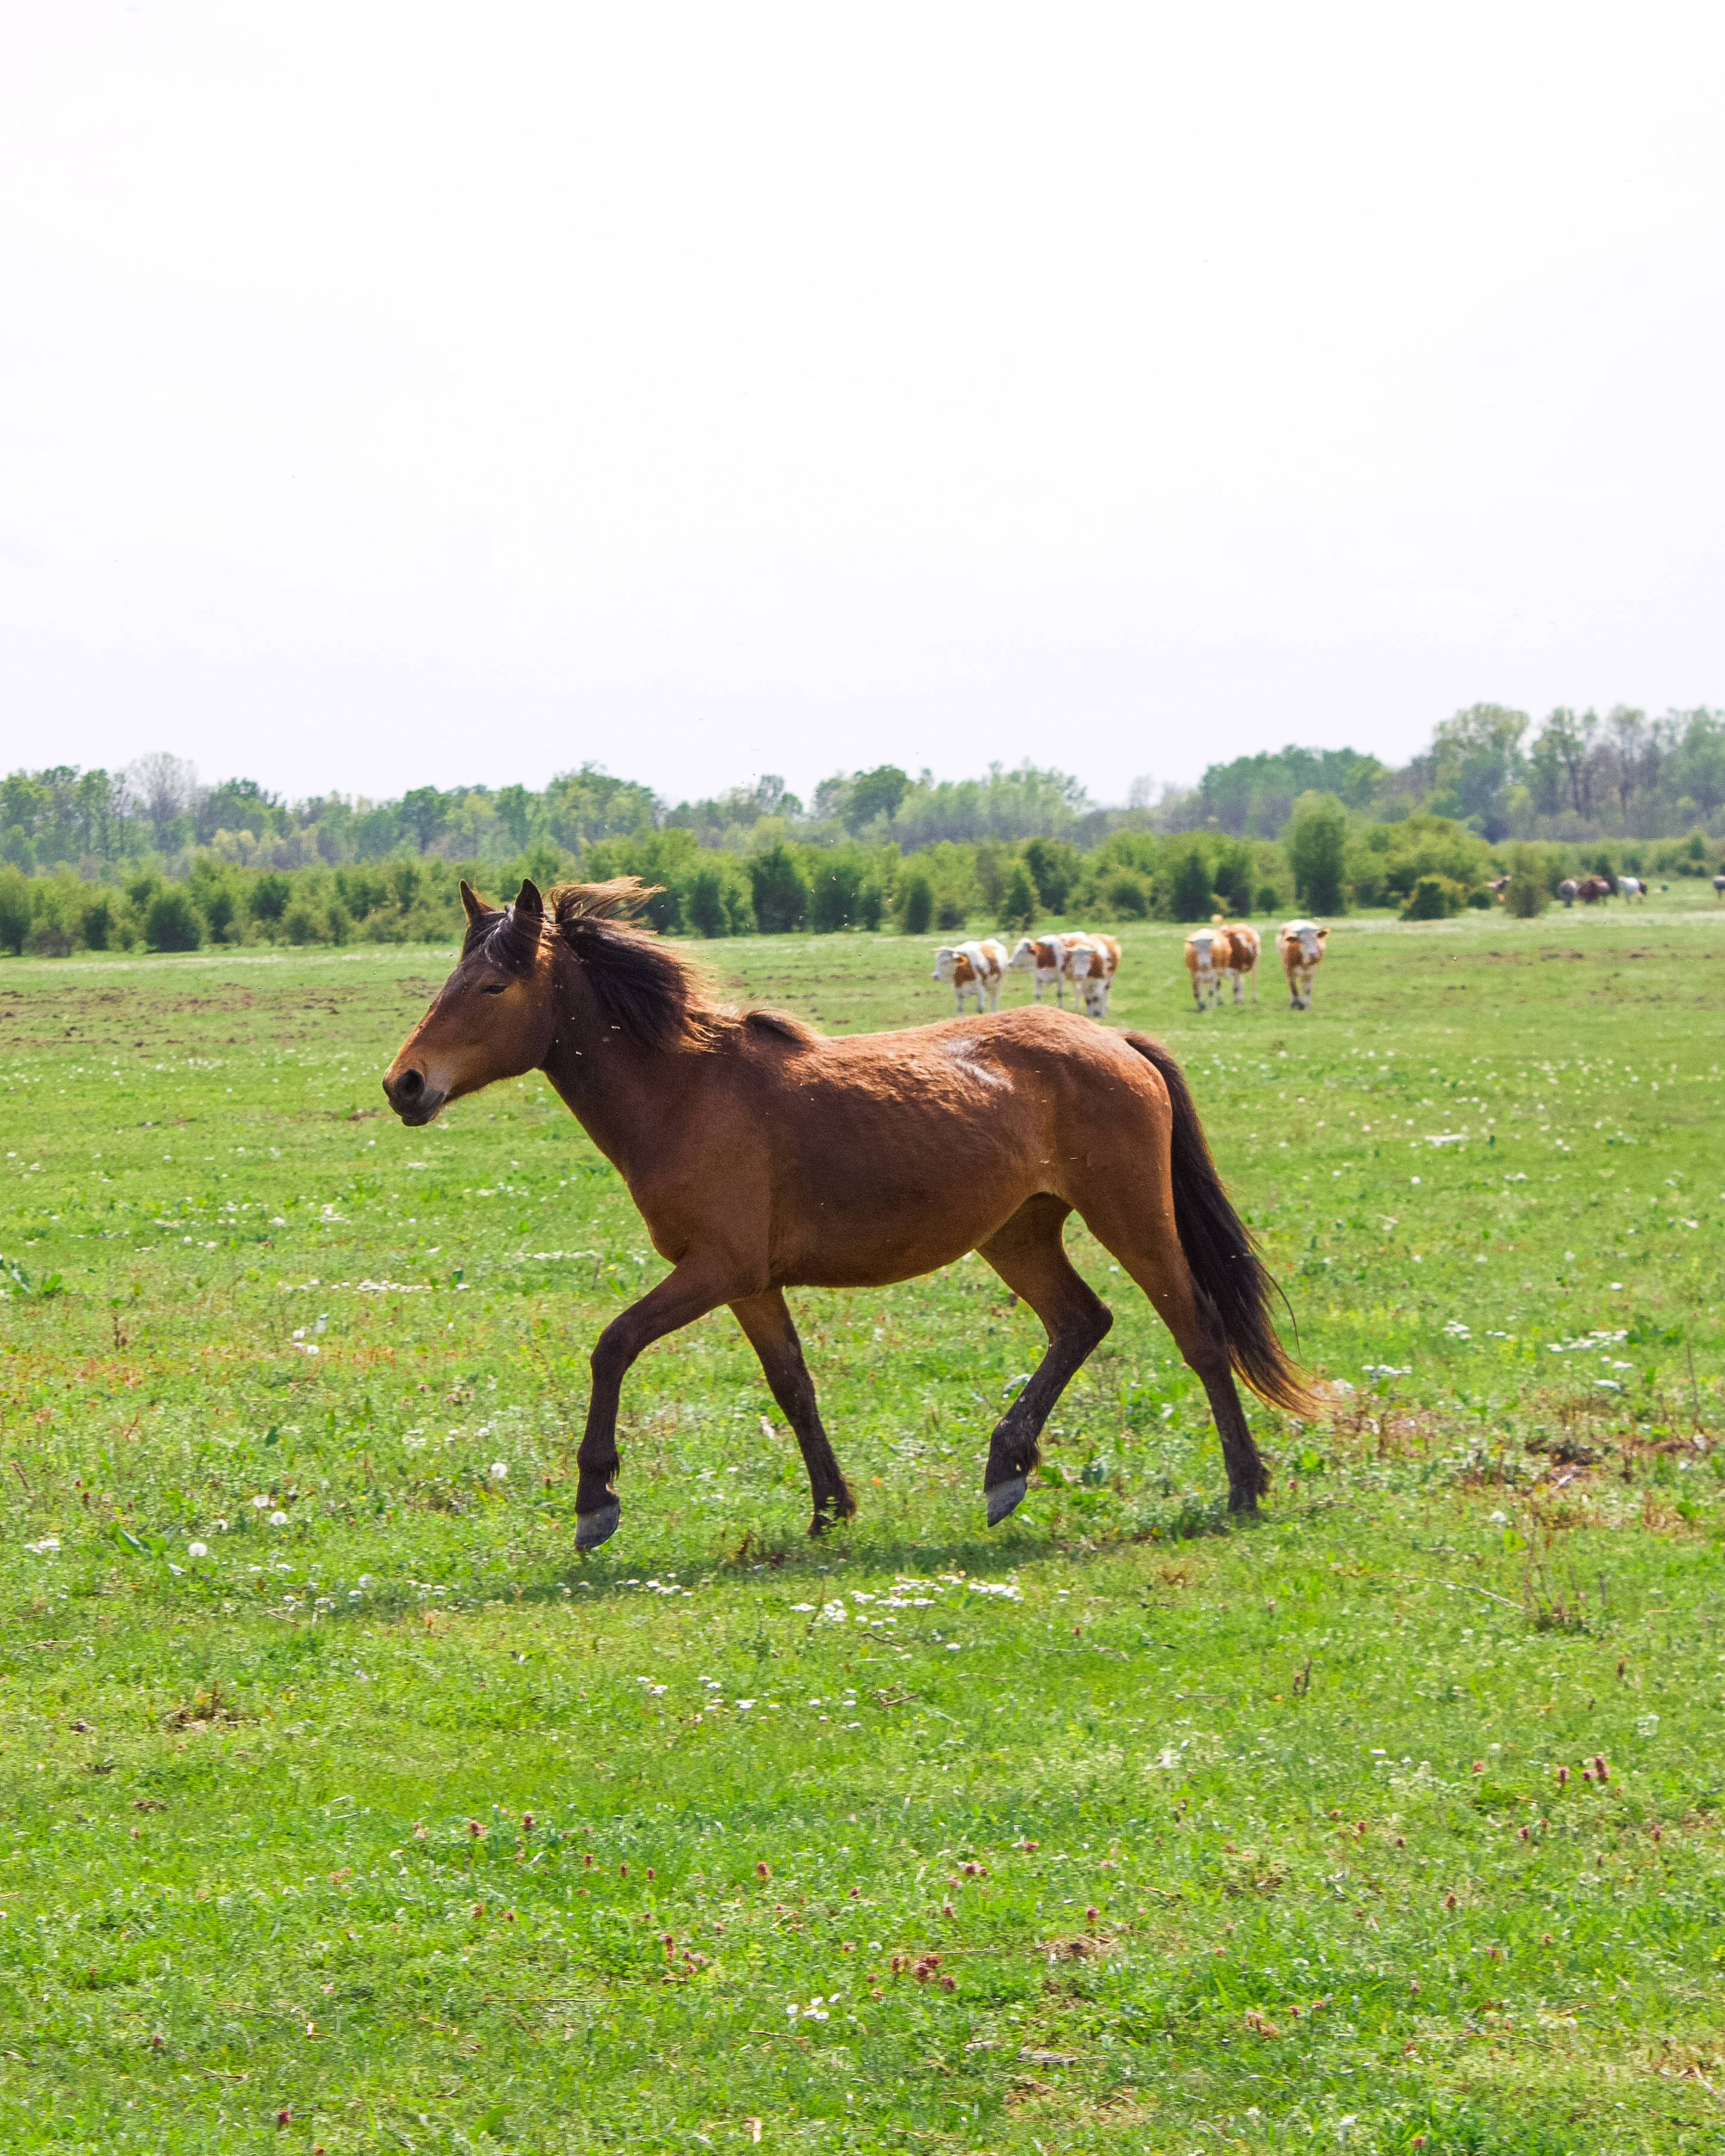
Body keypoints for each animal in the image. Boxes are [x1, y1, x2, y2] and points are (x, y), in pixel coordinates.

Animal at [382, 879, 1312, 1550]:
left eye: (492, 984)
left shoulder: (714, 1269)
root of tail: (1114, 1041)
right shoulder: (748, 1282)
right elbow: (792, 1386)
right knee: (1081, 1321)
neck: (684, 1089)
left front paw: (594, 1498)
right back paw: (1005, 1468)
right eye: (447, 983)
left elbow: (612, 1347)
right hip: (1016, 1233)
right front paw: (830, 1507)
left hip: (1129, 1216)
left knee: (1197, 1332)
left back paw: (1243, 1486)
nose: (405, 1084)